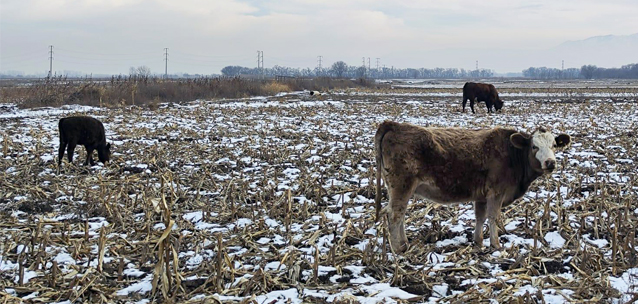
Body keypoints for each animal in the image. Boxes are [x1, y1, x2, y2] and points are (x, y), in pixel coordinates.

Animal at [372, 120, 572, 253]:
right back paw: (398, 249)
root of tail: (394, 125)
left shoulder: (482, 196)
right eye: (534, 147)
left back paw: (404, 244)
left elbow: (480, 217)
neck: (512, 154)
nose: (550, 163)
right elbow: (493, 217)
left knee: (400, 214)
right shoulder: (496, 192)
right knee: (394, 214)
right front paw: (496, 245)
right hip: (401, 185)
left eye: (554, 145)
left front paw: (478, 242)